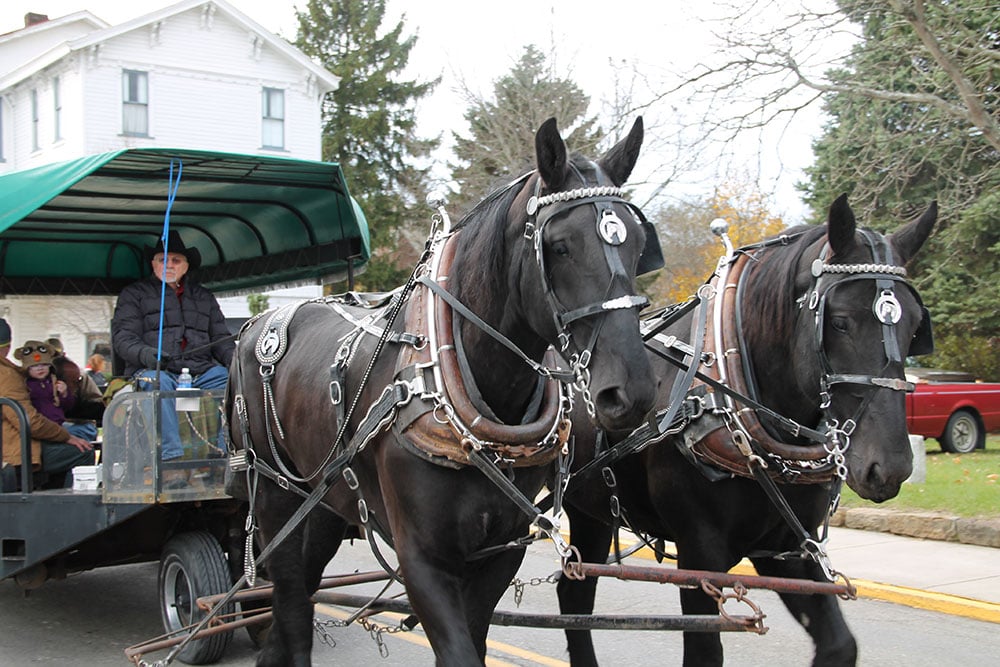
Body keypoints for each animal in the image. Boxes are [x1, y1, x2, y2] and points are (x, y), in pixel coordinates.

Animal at [229, 117, 660, 664]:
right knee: (288, 598)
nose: (633, 391)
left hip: (327, 501)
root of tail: (252, 326)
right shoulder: (422, 558)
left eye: (636, 243)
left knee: (301, 594)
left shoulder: (500, 549)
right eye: (559, 246)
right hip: (274, 495)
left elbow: (473, 639)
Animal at [560, 196, 932, 664]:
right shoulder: (700, 553)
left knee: (574, 592)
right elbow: (705, 650)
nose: (892, 466)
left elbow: (840, 645)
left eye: (916, 325)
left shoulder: (790, 551)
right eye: (841, 321)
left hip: (589, 512)